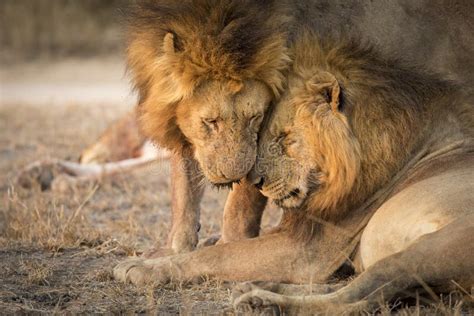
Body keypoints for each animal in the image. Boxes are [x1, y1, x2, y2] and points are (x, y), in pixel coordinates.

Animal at [113, 30, 472, 312]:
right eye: (260, 133)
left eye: (285, 137)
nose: (255, 181)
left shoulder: (308, 248)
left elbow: (218, 255)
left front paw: (143, 268)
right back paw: (259, 289)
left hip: (433, 247)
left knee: (362, 299)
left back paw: (264, 302)